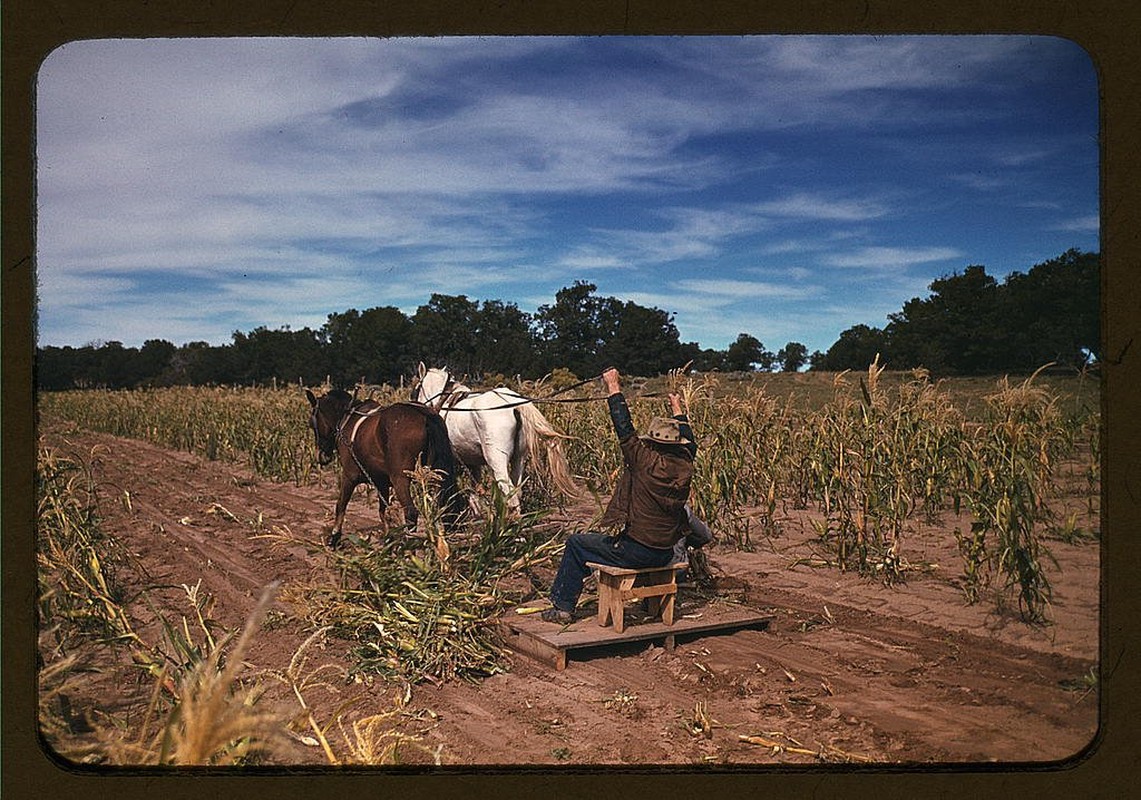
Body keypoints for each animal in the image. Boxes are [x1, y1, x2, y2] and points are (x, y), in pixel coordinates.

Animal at [308, 388, 463, 550]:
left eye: (312, 424)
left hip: (400, 480)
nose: (321, 456)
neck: (347, 418)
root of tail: (425, 416)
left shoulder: (349, 477)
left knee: (410, 513)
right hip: (436, 476)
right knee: (440, 509)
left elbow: (341, 505)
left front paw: (334, 537)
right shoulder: (381, 483)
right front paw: (389, 540)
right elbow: (384, 512)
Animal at [415, 362, 579, 511]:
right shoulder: (473, 463)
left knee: (511, 495)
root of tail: (514, 403)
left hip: (497, 460)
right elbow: (476, 490)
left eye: (418, 388)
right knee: (516, 490)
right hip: (518, 459)